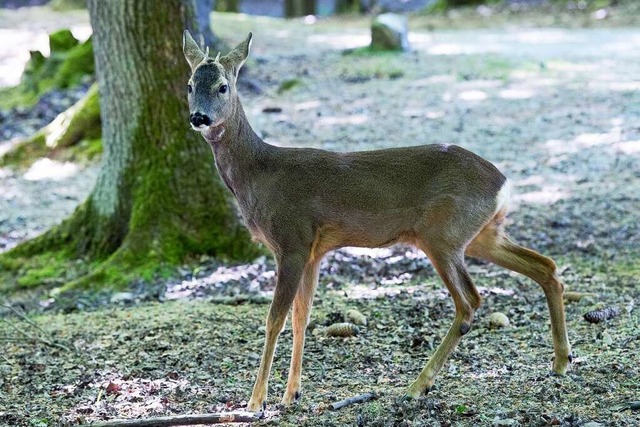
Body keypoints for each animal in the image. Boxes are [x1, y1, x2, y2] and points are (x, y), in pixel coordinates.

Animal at [182, 31, 572, 412]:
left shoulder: (292, 239)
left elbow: (274, 319)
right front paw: (292, 394)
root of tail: (504, 183)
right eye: (189, 85)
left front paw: (256, 400)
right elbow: (301, 316)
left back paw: (418, 386)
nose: (198, 117)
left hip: (442, 234)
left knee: (470, 301)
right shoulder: (314, 250)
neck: (258, 174)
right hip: (481, 234)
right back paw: (561, 361)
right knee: (545, 266)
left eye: (222, 86)